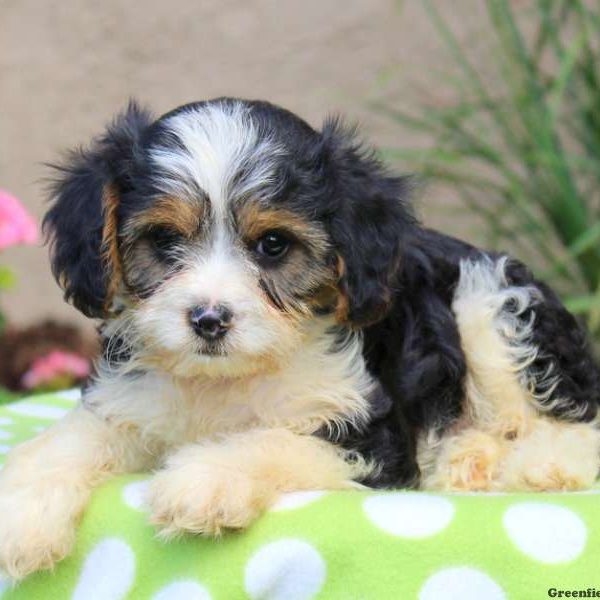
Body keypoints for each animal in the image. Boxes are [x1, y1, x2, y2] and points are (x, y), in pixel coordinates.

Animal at [1, 99, 600, 580]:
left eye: (273, 245)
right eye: (165, 238)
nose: (208, 319)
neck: (225, 378)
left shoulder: (371, 440)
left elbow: (276, 441)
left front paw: (205, 479)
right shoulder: (128, 398)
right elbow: (67, 441)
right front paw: (22, 515)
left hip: (491, 303)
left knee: (565, 425)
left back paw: (535, 465)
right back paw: (464, 458)